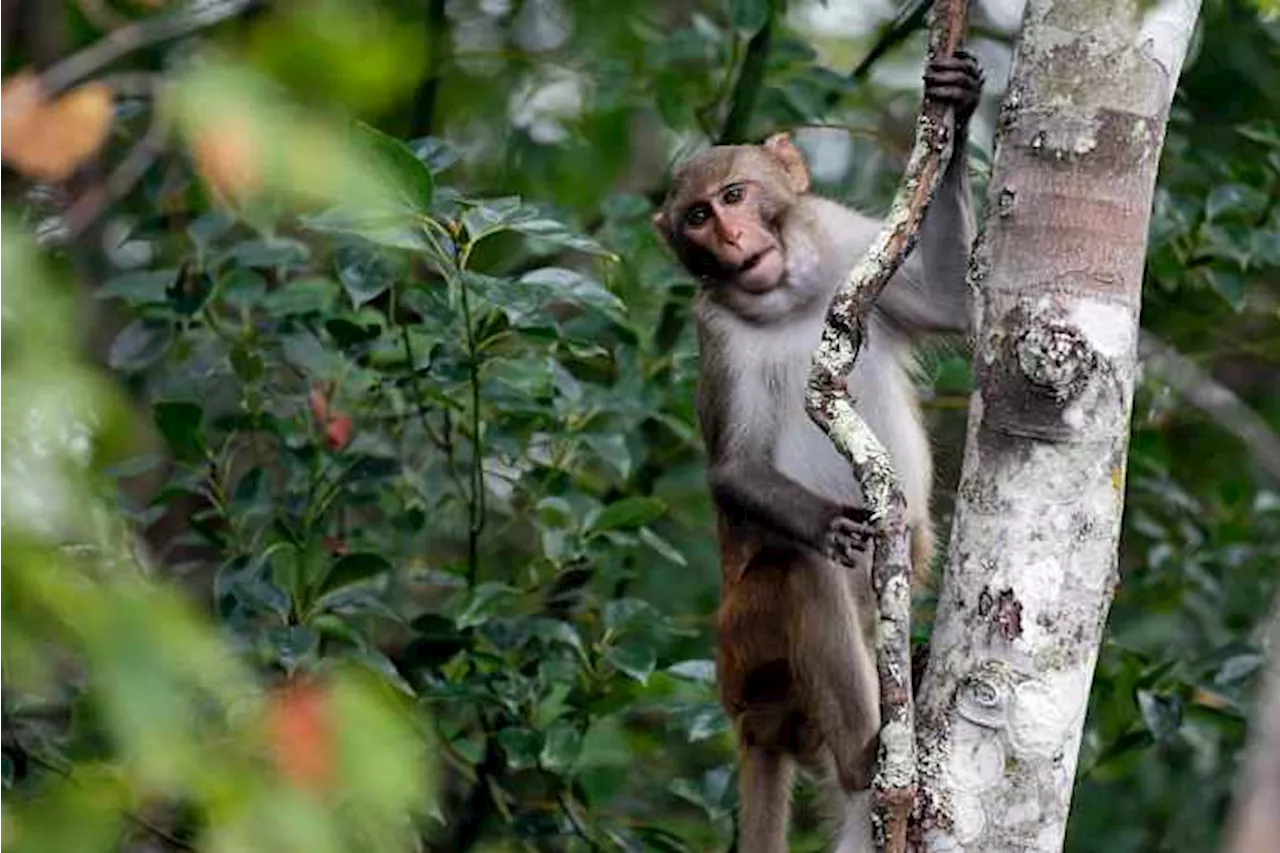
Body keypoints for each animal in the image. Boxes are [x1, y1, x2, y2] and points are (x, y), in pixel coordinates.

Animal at [655, 54, 983, 850]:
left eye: (735, 195)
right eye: (698, 217)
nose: (731, 238)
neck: (788, 295)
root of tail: (748, 719)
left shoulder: (844, 238)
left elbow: (951, 302)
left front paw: (956, 108)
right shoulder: (715, 331)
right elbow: (735, 467)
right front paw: (827, 522)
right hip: (749, 650)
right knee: (797, 572)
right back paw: (866, 757)